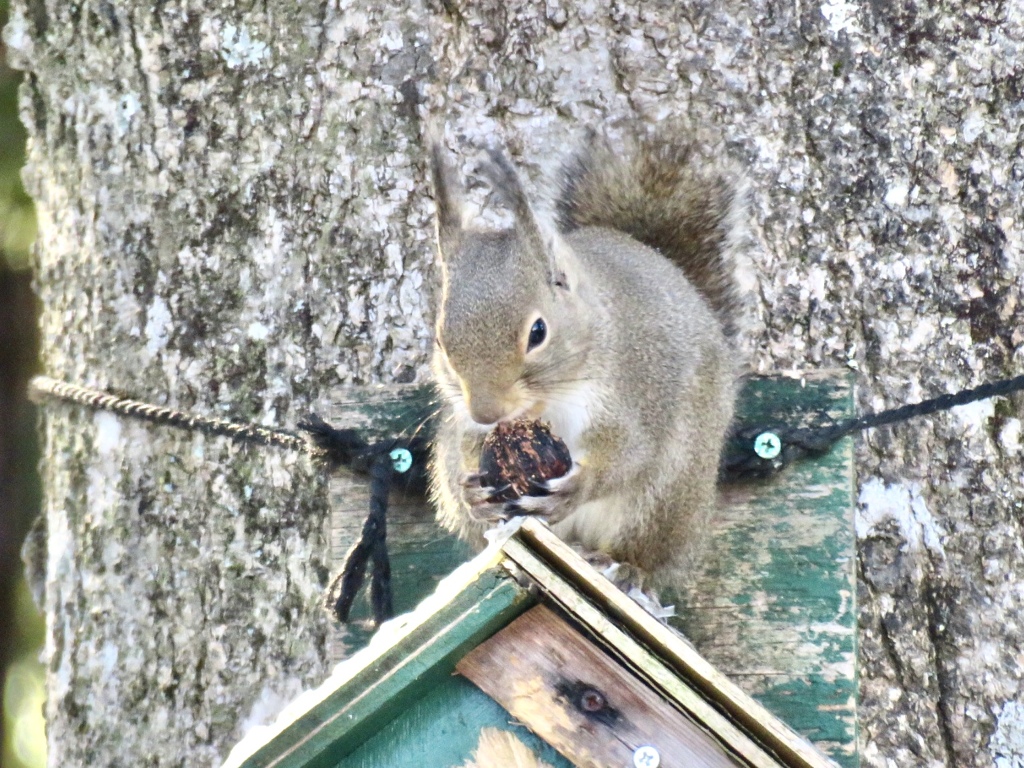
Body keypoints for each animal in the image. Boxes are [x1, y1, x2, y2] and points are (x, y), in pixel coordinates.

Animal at [421, 124, 745, 589]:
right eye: (440, 341)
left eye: (538, 332)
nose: (486, 412)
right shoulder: (464, 424)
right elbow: (467, 449)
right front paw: (473, 494)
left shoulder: (629, 401)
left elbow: (629, 454)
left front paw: (580, 486)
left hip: (669, 491)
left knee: (644, 544)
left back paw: (626, 568)